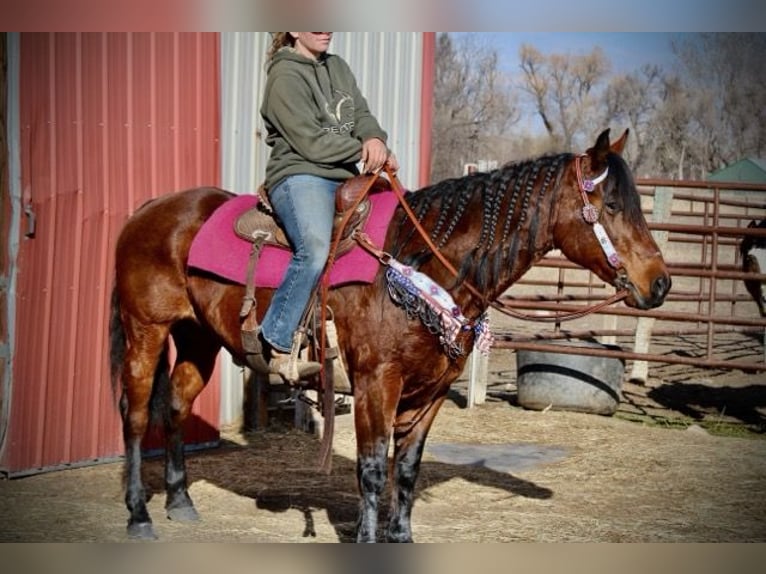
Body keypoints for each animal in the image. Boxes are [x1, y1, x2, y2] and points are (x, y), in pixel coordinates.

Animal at [109, 128, 672, 544]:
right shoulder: (375, 384)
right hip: (146, 331)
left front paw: (401, 537)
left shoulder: (432, 390)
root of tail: (151, 208)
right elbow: (373, 469)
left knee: (175, 407)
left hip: (198, 338)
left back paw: (181, 501)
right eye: (613, 206)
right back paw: (138, 515)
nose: (660, 282)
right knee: (136, 415)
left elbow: (406, 469)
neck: (419, 264)